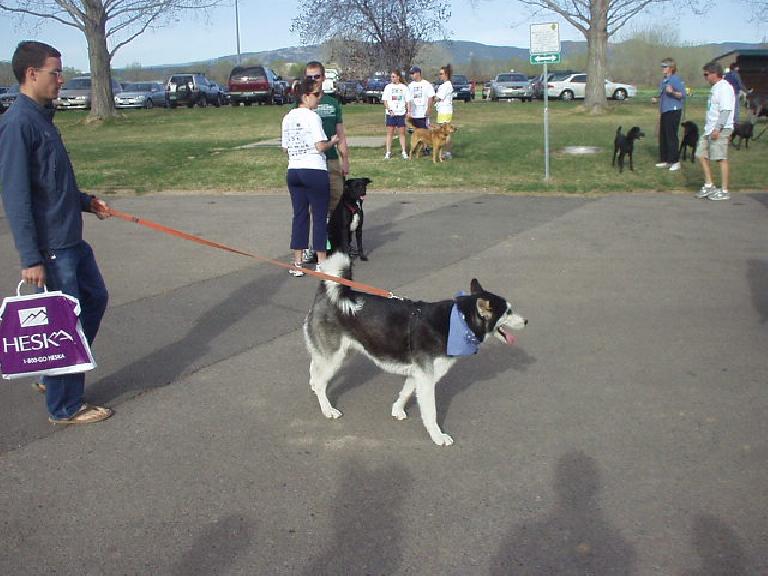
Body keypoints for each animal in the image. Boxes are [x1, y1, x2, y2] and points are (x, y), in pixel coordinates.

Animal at [302, 252, 528, 446]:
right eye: (508, 311)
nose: (526, 321)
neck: (458, 322)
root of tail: (327, 293)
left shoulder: (419, 375)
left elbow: (405, 393)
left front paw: (397, 410)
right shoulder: (427, 378)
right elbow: (430, 412)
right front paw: (438, 436)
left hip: (340, 353)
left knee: (314, 371)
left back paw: (314, 388)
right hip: (334, 358)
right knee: (321, 382)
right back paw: (327, 409)